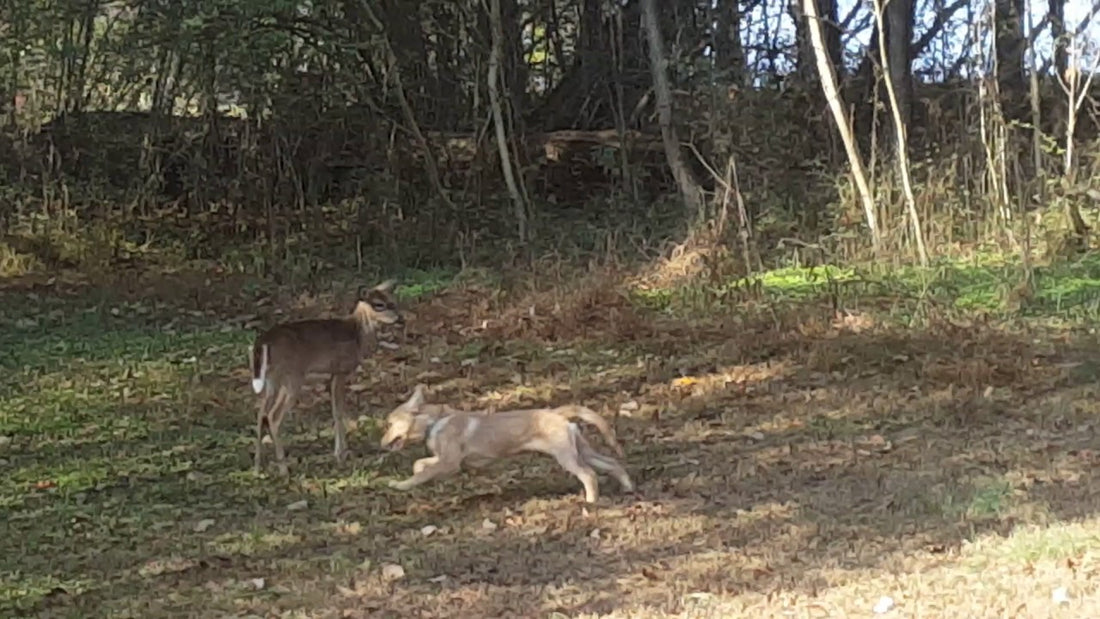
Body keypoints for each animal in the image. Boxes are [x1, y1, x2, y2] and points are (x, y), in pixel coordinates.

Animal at [249, 280, 404, 475]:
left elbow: (336, 411)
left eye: (393, 300)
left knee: (261, 413)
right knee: (273, 416)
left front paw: (341, 452)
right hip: (292, 377)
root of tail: (263, 342)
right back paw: (284, 469)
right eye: (379, 304)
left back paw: (257, 467)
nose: (400, 318)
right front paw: (340, 454)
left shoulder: (330, 377)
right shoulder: (340, 370)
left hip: (272, 380)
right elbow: (338, 412)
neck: (357, 335)